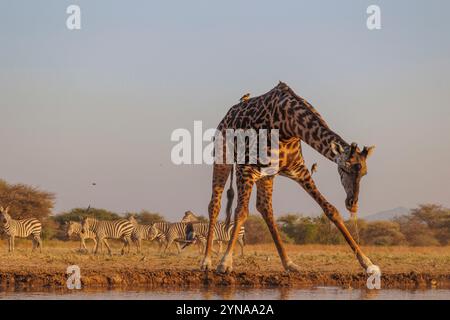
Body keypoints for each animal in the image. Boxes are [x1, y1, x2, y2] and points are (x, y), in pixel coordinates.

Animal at [202, 82, 378, 272]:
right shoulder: (245, 168)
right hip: (223, 159)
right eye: (344, 169)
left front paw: (367, 262)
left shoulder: (299, 170)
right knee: (215, 205)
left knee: (265, 208)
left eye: (364, 173)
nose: (352, 203)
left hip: (266, 175)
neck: (288, 125)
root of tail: (226, 115)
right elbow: (241, 212)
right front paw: (225, 262)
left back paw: (289, 263)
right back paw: (206, 261)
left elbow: (331, 210)